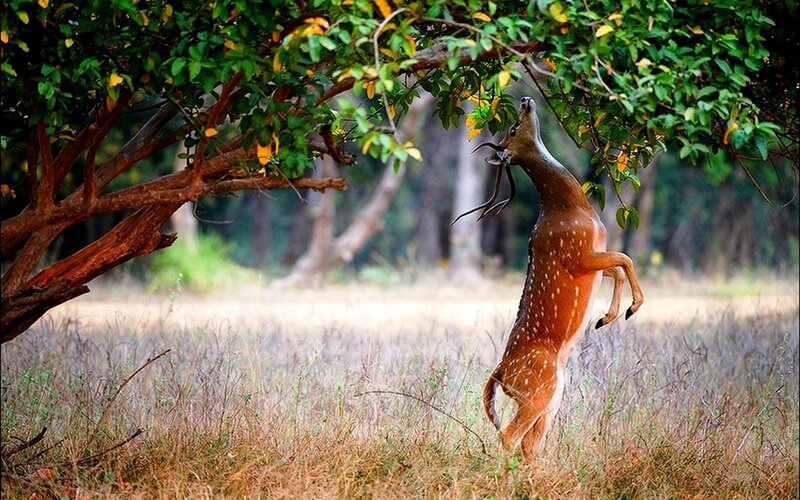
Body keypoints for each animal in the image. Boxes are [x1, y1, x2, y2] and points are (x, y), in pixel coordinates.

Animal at [461, 96, 644, 462]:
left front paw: (607, 316)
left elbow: (617, 266)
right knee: (509, 437)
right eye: (513, 128)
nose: (525, 100)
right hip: (537, 391)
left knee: (529, 444)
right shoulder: (577, 253)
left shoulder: (594, 254)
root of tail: (500, 373)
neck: (572, 210)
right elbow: (625, 259)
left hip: (551, 399)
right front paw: (631, 309)